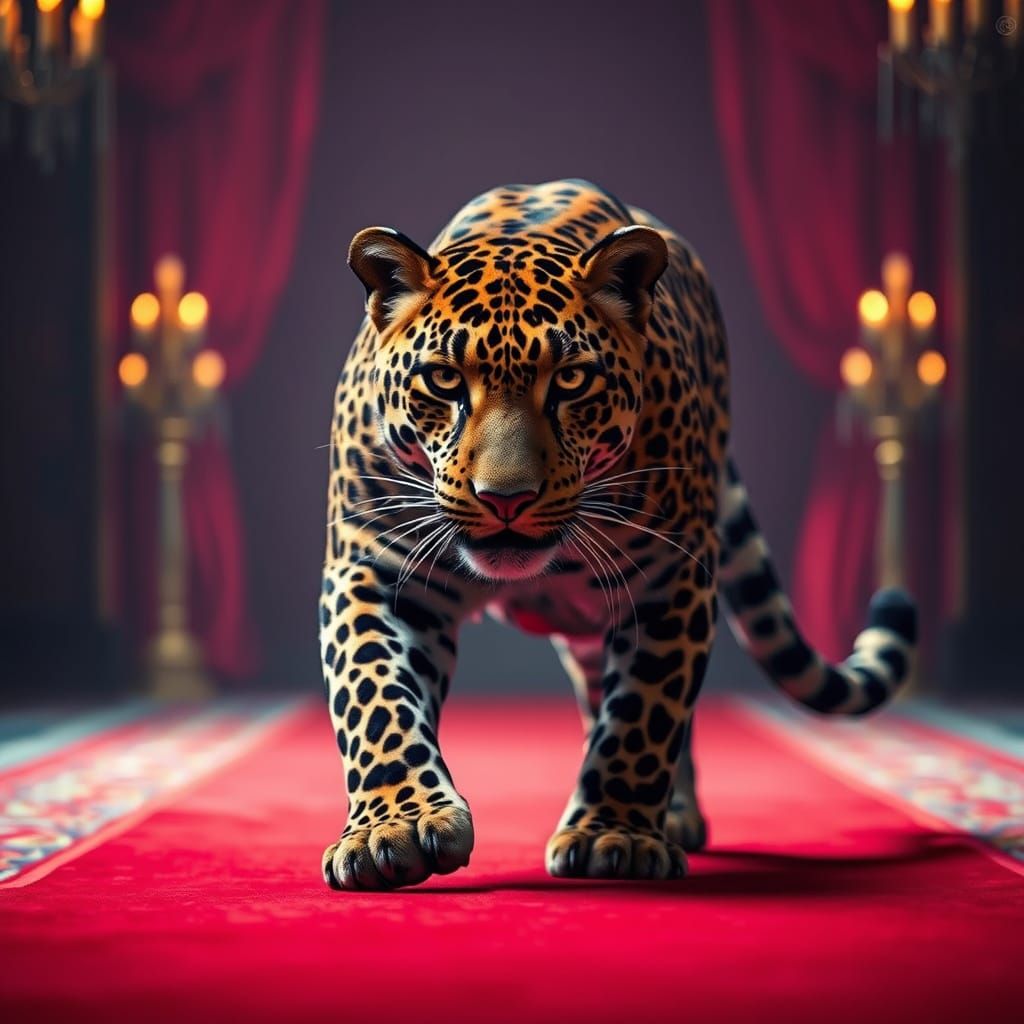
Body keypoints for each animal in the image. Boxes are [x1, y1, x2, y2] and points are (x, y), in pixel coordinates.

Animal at [319, 179, 916, 890]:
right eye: (444, 379)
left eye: (572, 380)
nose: (506, 499)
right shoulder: (376, 569)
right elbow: (373, 694)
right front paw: (396, 826)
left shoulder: (671, 581)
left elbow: (644, 716)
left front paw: (615, 835)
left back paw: (668, 814)